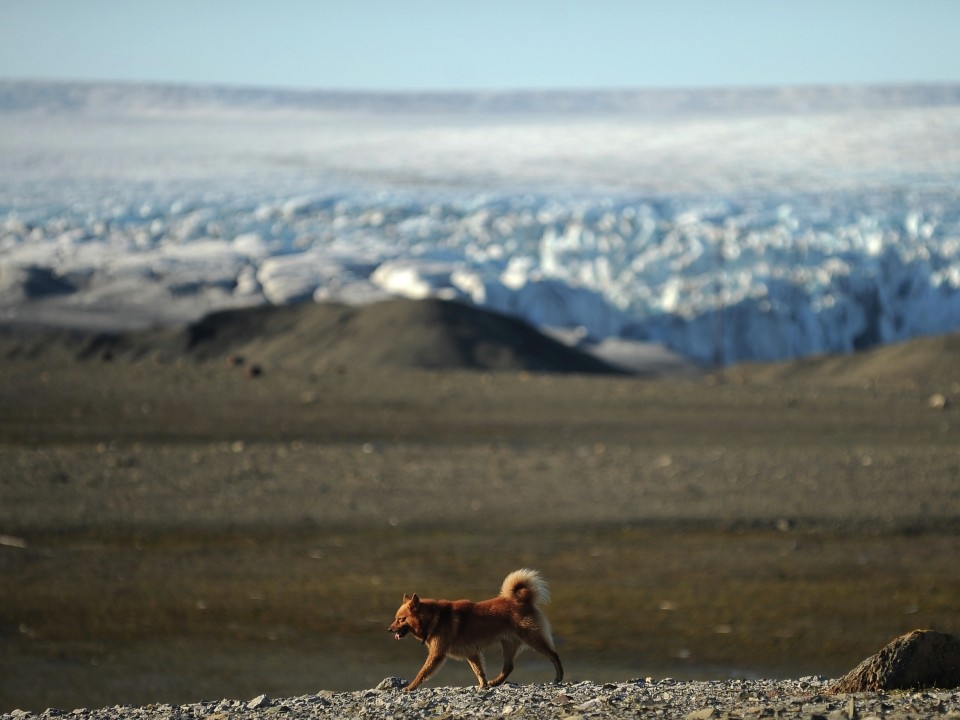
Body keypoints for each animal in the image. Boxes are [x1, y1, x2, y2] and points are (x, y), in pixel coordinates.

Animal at [388, 568, 564, 692]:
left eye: (400, 619)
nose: (389, 630)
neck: (433, 618)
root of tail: (521, 600)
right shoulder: (471, 653)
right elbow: (479, 671)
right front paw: (483, 686)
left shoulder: (437, 654)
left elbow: (422, 673)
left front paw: (410, 687)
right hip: (508, 644)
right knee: (508, 667)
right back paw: (495, 682)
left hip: (532, 638)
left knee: (554, 655)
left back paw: (559, 677)